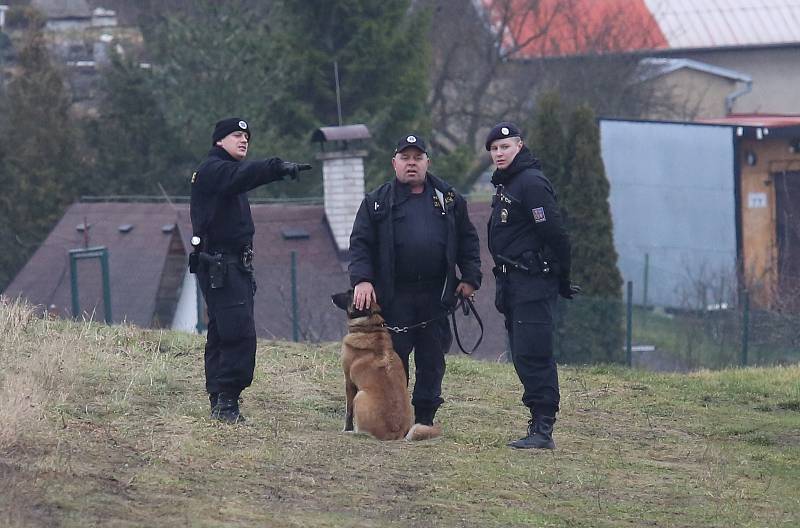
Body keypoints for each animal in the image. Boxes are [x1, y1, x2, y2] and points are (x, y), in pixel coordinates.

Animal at [332, 290, 444, 444]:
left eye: (350, 293)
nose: (331, 296)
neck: (370, 328)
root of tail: (396, 434)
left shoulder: (349, 382)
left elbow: (348, 412)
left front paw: (346, 429)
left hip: (360, 396)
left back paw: (353, 433)